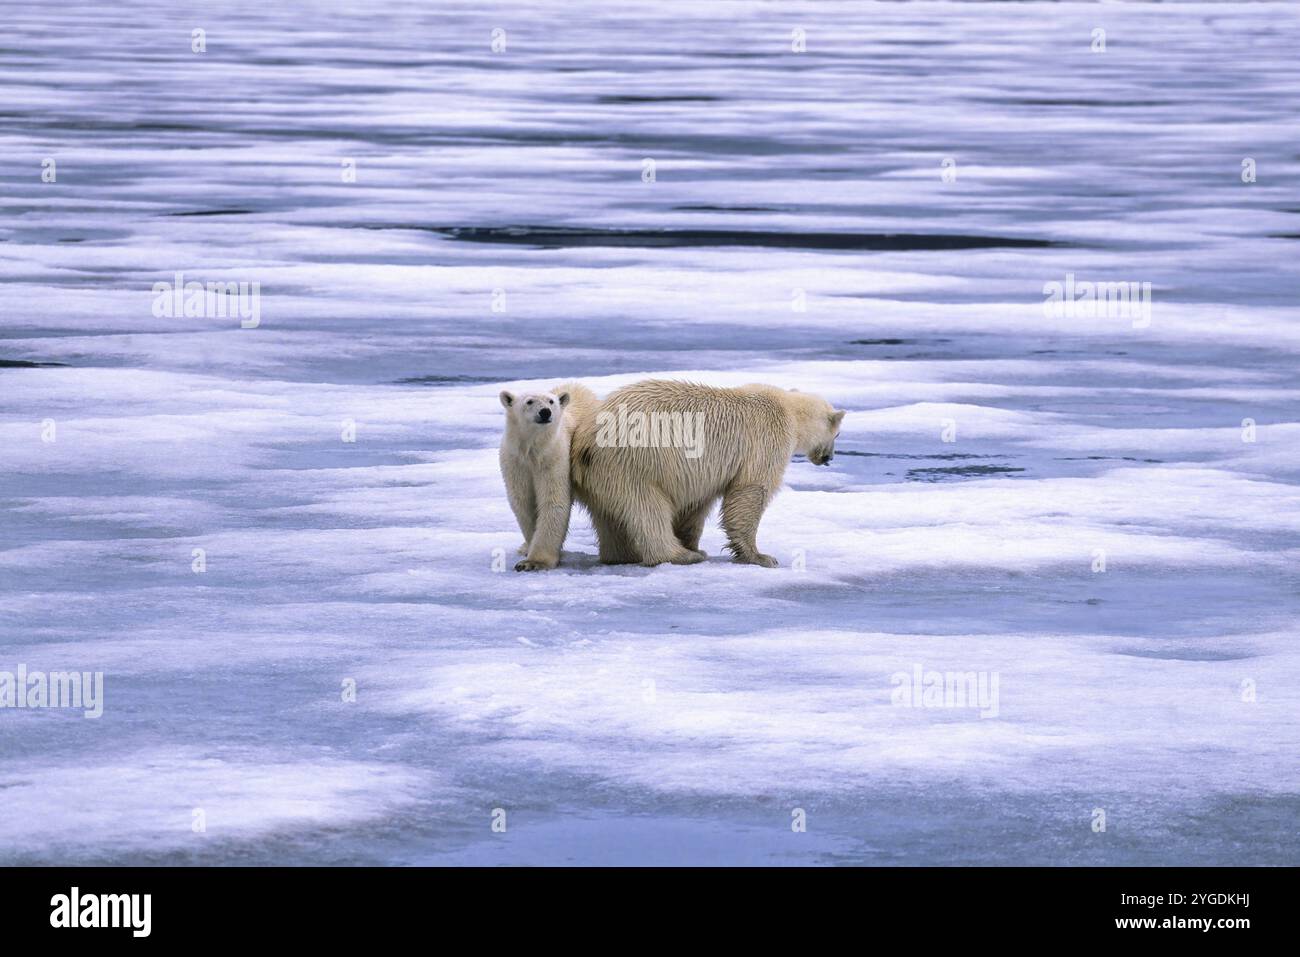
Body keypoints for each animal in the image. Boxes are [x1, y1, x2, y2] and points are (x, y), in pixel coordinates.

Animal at [498, 381, 599, 571]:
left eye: (551, 401)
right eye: (529, 401)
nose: (545, 412)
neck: (533, 451)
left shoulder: (554, 458)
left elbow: (553, 501)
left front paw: (534, 562)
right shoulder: (516, 463)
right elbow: (523, 502)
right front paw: (528, 551)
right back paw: (523, 547)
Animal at [570, 380, 845, 567]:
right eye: (838, 433)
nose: (829, 458)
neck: (789, 409)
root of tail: (584, 439)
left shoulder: (702, 473)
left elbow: (697, 505)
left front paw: (694, 543)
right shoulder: (766, 439)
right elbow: (750, 491)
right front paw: (761, 556)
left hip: (602, 476)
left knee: (610, 516)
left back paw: (622, 556)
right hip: (632, 464)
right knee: (647, 508)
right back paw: (680, 555)